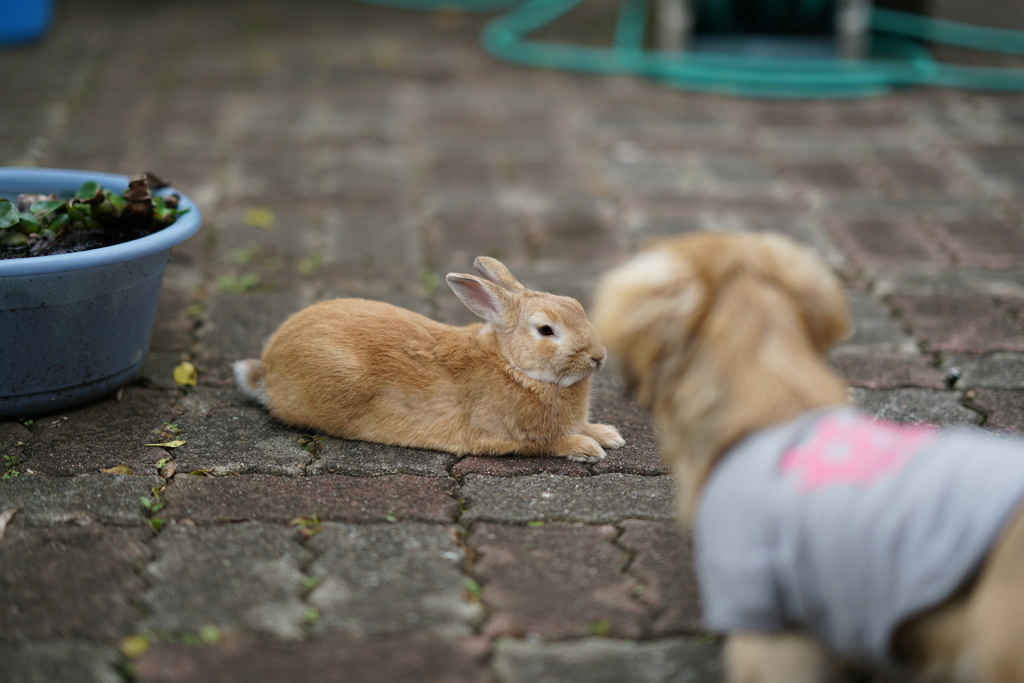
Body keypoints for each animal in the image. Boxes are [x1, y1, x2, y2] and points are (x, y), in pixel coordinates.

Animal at [233, 258, 622, 464]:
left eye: (576, 305)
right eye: (545, 330)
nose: (598, 357)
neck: (512, 366)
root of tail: (267, 367)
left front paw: (609, 435)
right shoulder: (504, 436)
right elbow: (549, 443)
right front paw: (588, 449)